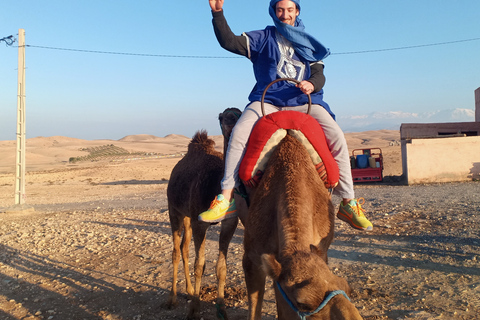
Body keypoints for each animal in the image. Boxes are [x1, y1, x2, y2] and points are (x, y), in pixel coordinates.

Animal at [167, 108, 244, 320]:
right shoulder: (199, 223)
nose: (233, 122)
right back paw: (173, 299)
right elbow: (199, 265)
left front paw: (222, 309)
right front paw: (194, 310)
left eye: (239, 112)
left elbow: (221, 267)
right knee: (176, 251)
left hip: (187, 217)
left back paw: (189, 291)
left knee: (184, 248)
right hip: (174, 210)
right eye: (223, 116)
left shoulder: (229, 223)